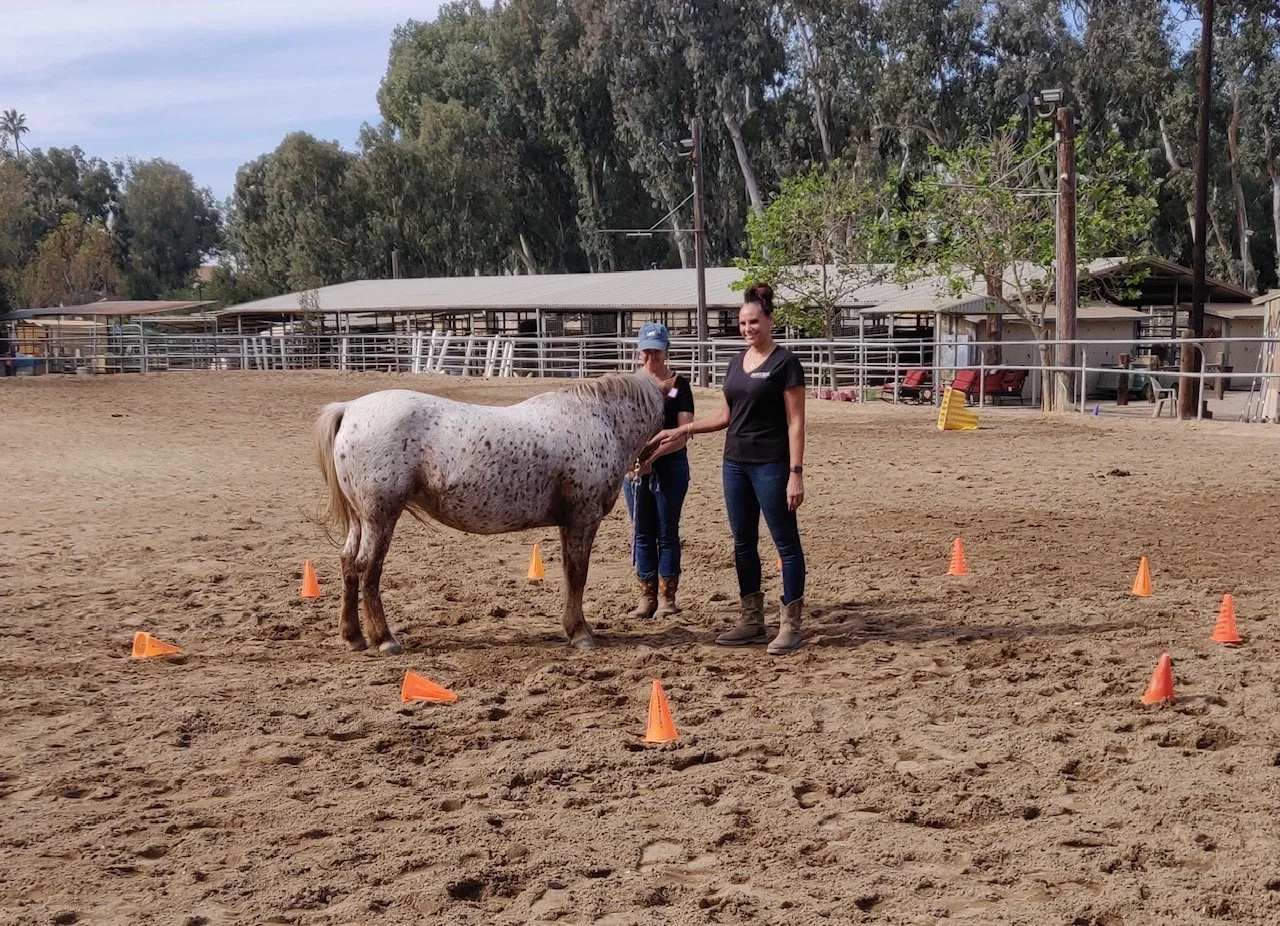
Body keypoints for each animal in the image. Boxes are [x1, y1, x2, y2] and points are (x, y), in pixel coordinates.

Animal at [313, 372, 666, 653]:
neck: (599, 420)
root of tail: (350, 409)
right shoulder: (583, 518)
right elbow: (577, 575)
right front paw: (580, 634)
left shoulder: (569, 524)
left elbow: (570, 574)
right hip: (380, 517)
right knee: (368, 569)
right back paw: (384, 639)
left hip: (361, 519)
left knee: (348, 563)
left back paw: (353, 637)